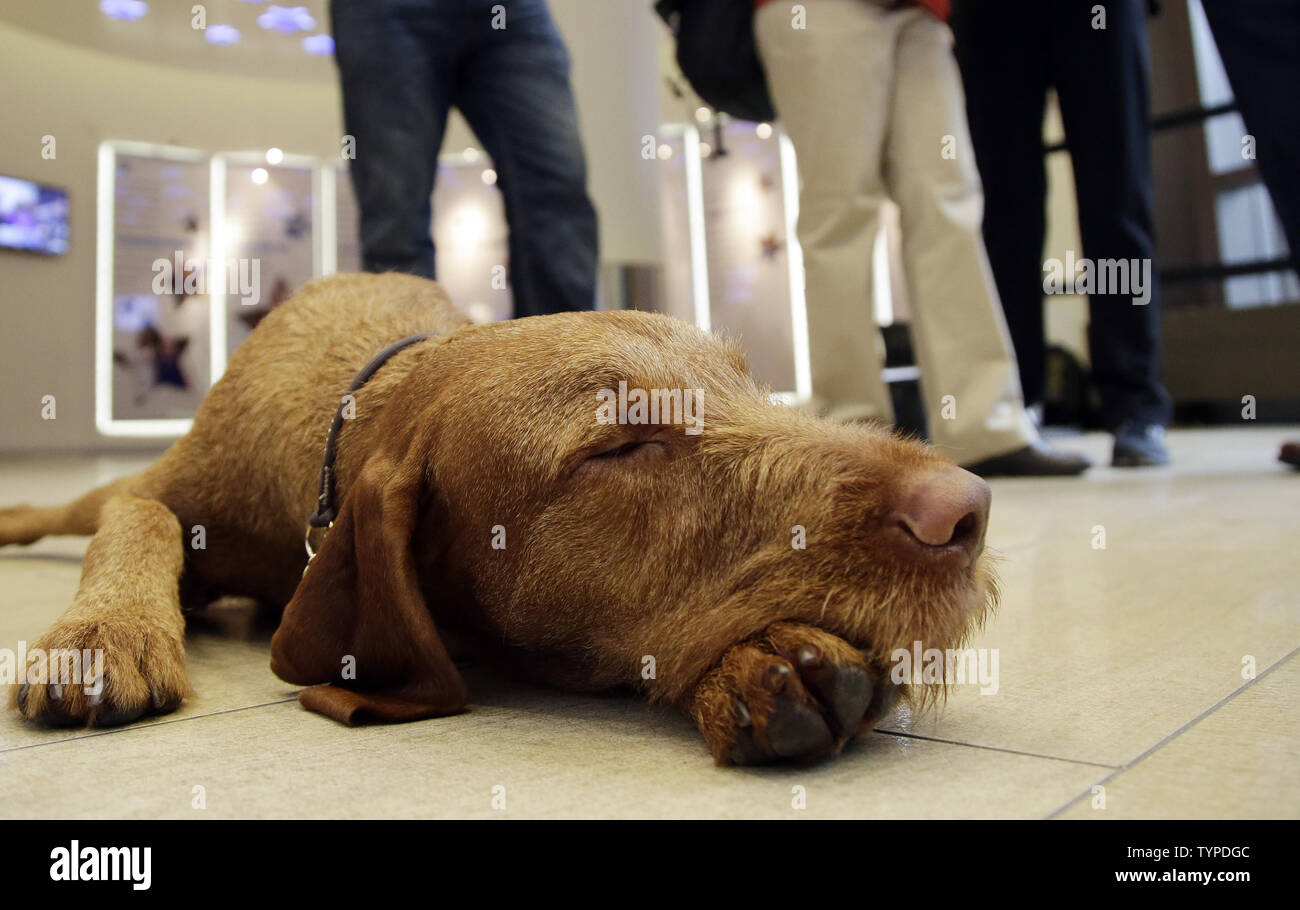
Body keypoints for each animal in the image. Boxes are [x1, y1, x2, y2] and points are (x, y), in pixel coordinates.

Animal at [0, 274, 993, 764]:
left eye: (752, 388)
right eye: (619, 446)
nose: (967, 509)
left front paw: (767, 656)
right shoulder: (157, 493)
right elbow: (140, 525)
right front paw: (102, 636)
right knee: (66, 511)